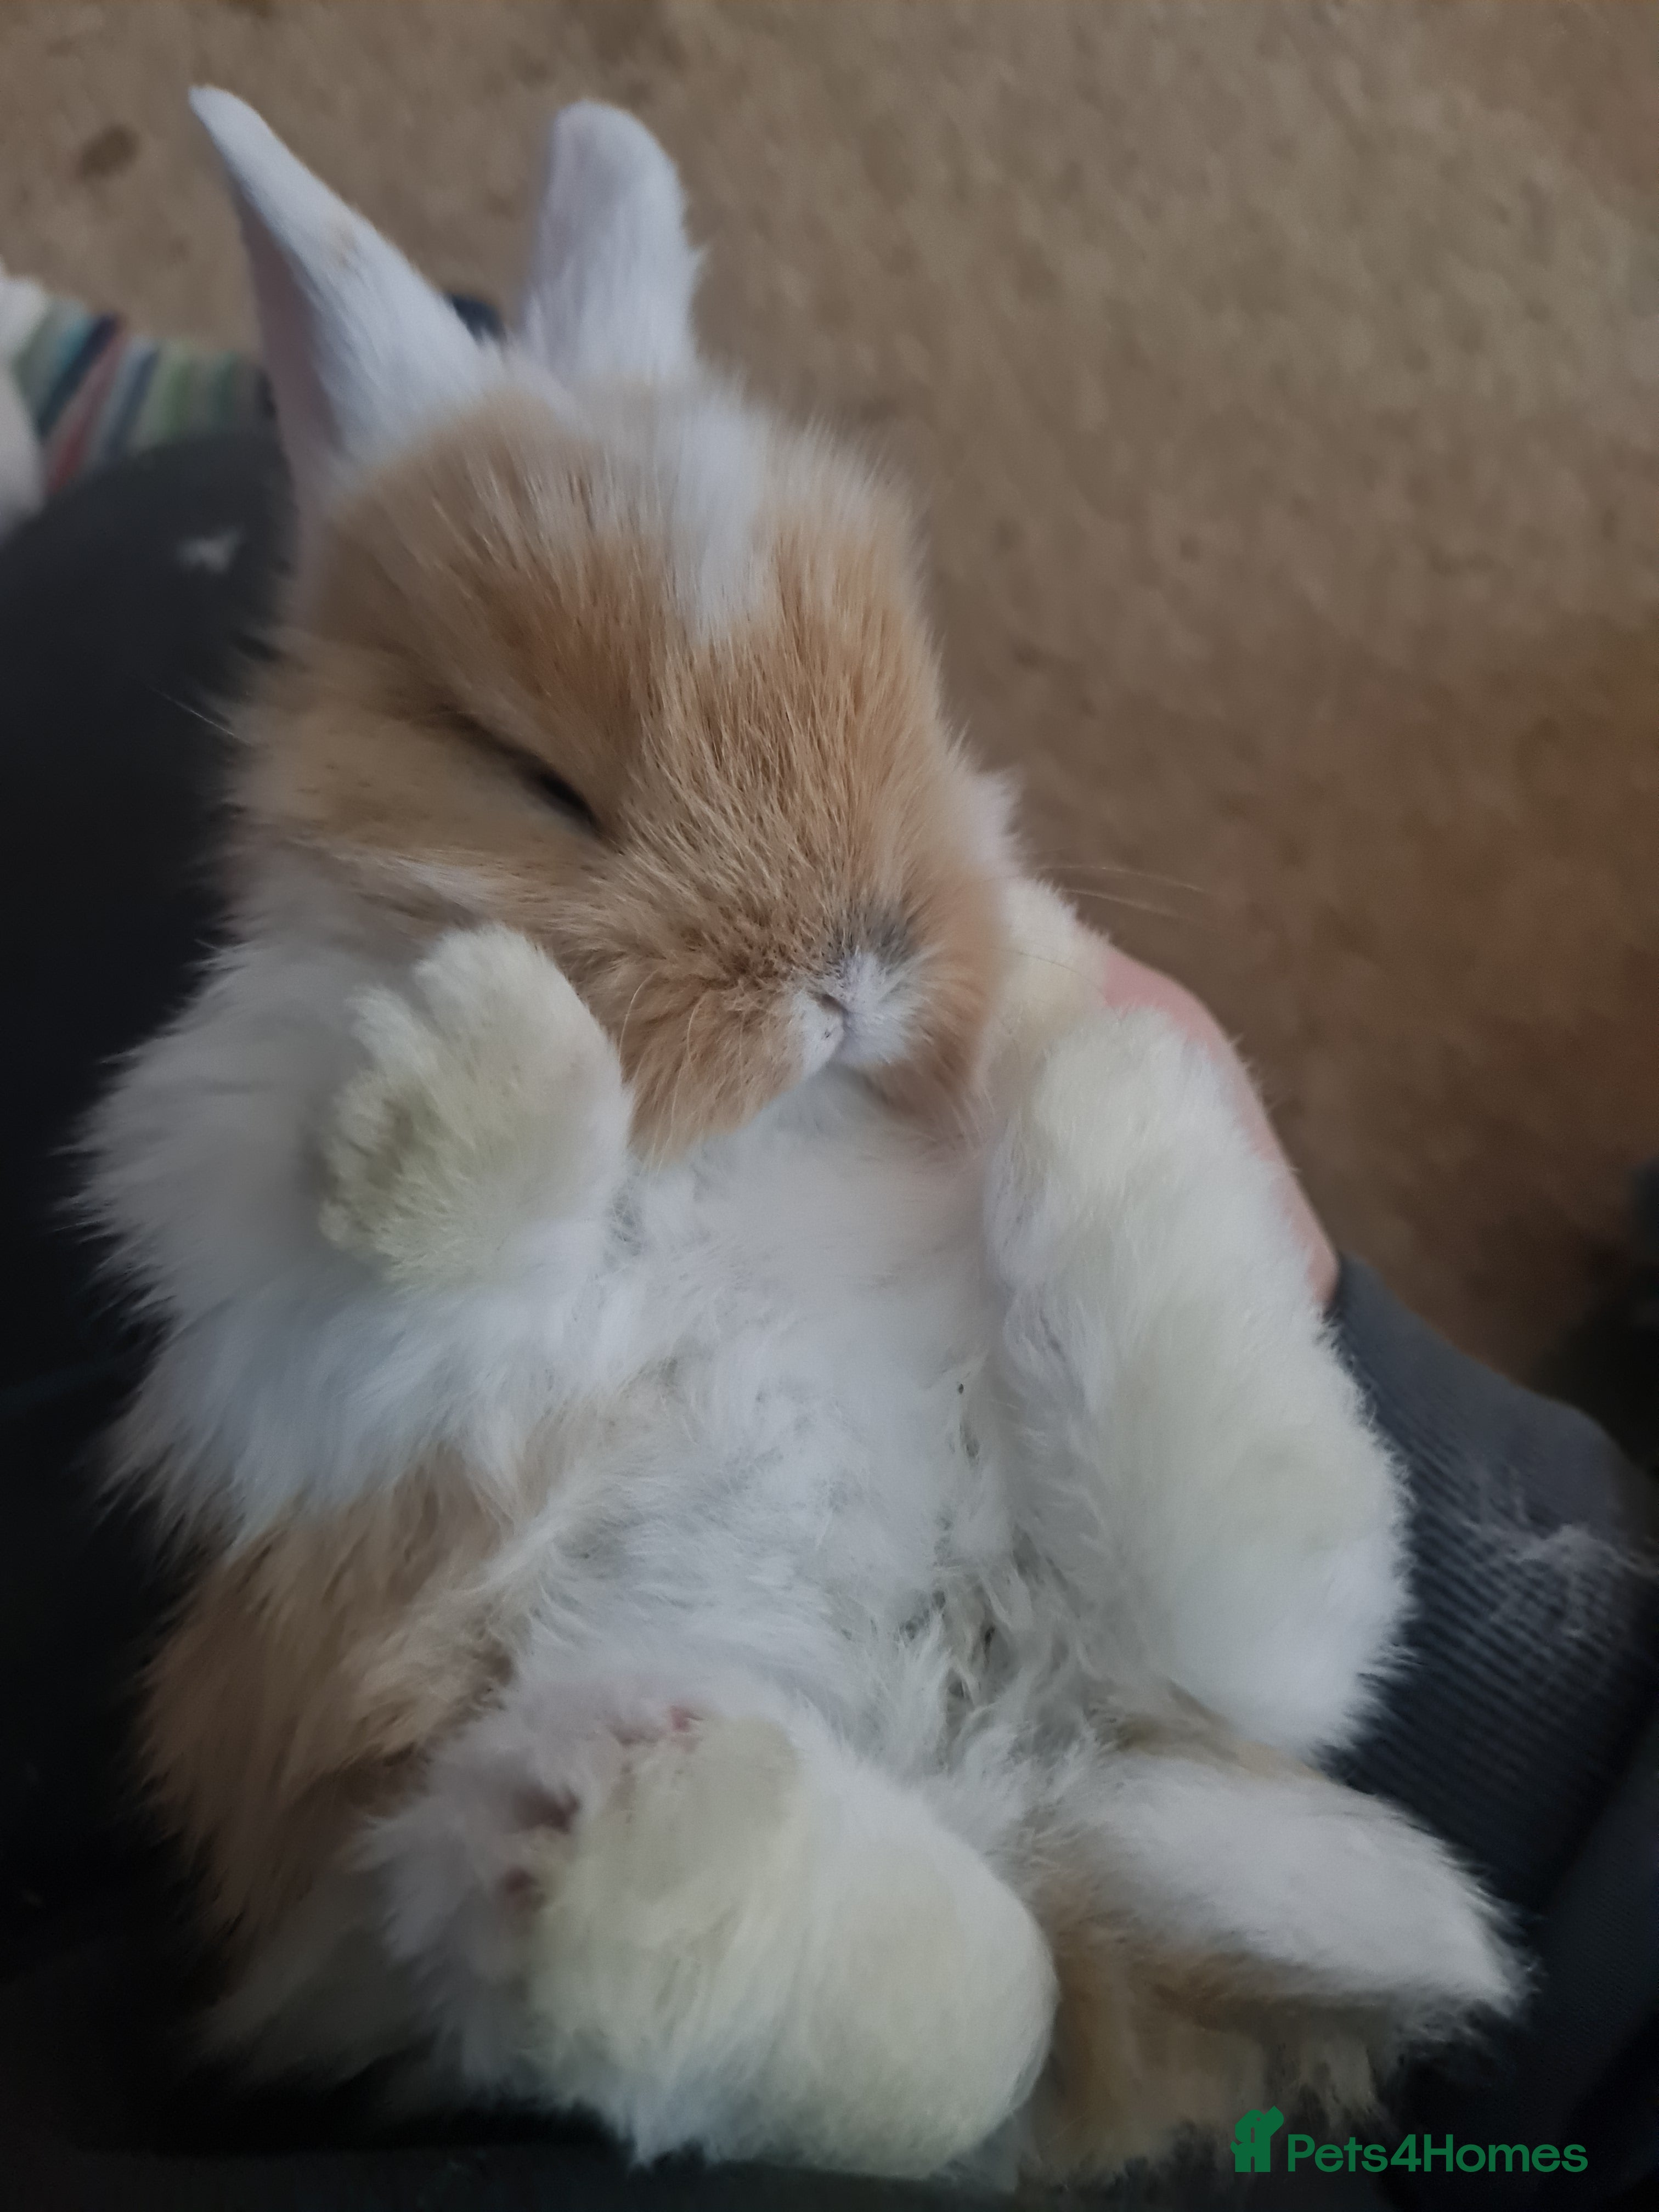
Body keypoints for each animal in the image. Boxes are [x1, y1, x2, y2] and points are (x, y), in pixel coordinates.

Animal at [85, 90, 1520, 2186]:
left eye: (906, 691)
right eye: (532, 778)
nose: (858, 967)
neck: (738, 1144)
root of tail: (995, 1764)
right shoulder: (311, 1330)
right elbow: (476, 1236)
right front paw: (473, 1047)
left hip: (1174, 1675)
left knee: (1262, 1629)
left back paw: (1109, 1092)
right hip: (397, 1875)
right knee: (973, 2009)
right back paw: (636, 1841)